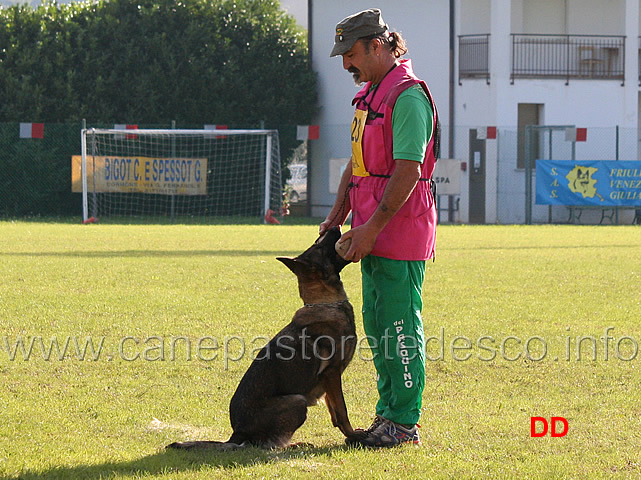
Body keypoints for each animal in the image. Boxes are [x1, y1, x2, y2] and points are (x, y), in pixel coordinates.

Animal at [168, 227, 362, 448]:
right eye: (319, 245)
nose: (334, 227)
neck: (326, 303)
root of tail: (237, 433)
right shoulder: (331, 373)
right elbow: (342, 411)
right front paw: (355, 436)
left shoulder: (329, 380)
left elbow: (334, 413)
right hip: (297, 401)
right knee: (268, 444)